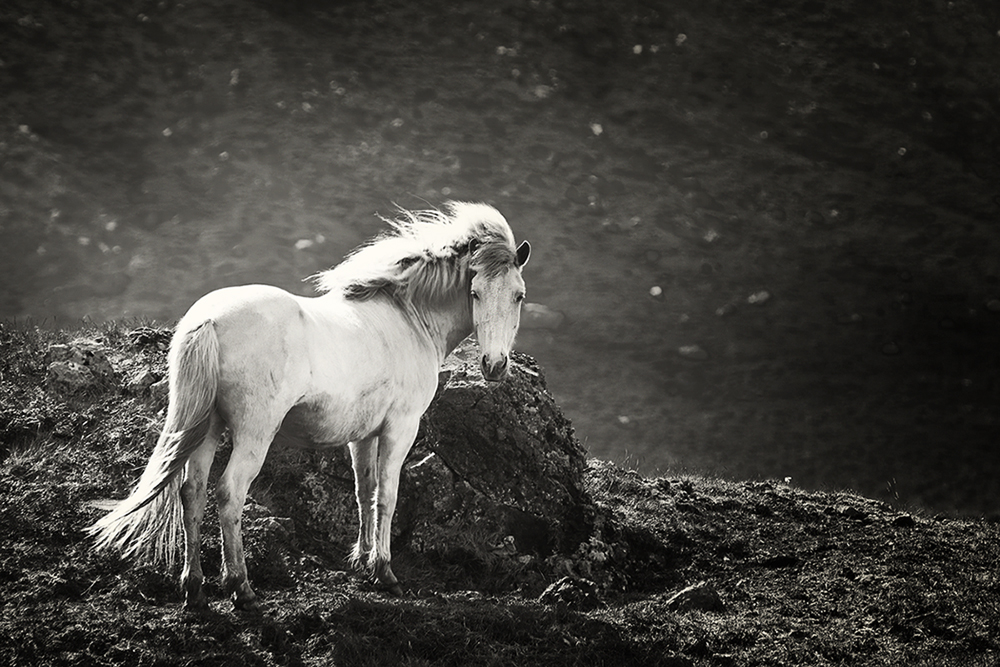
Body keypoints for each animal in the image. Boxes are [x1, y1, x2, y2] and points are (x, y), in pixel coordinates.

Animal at [88, 202, 532, 612]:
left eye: (518, 296)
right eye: (475, 293)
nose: (494, 366)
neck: (408, 318)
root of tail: (209, 321)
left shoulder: (363, 435)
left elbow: (364, 491)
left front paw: (363, 562)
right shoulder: (400, 428)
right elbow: (387, 496)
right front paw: (385, 572)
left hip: (207, 428)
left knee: (191, 493)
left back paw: (194, 589)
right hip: (253, 433)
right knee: (229, 494)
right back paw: (242, 588)